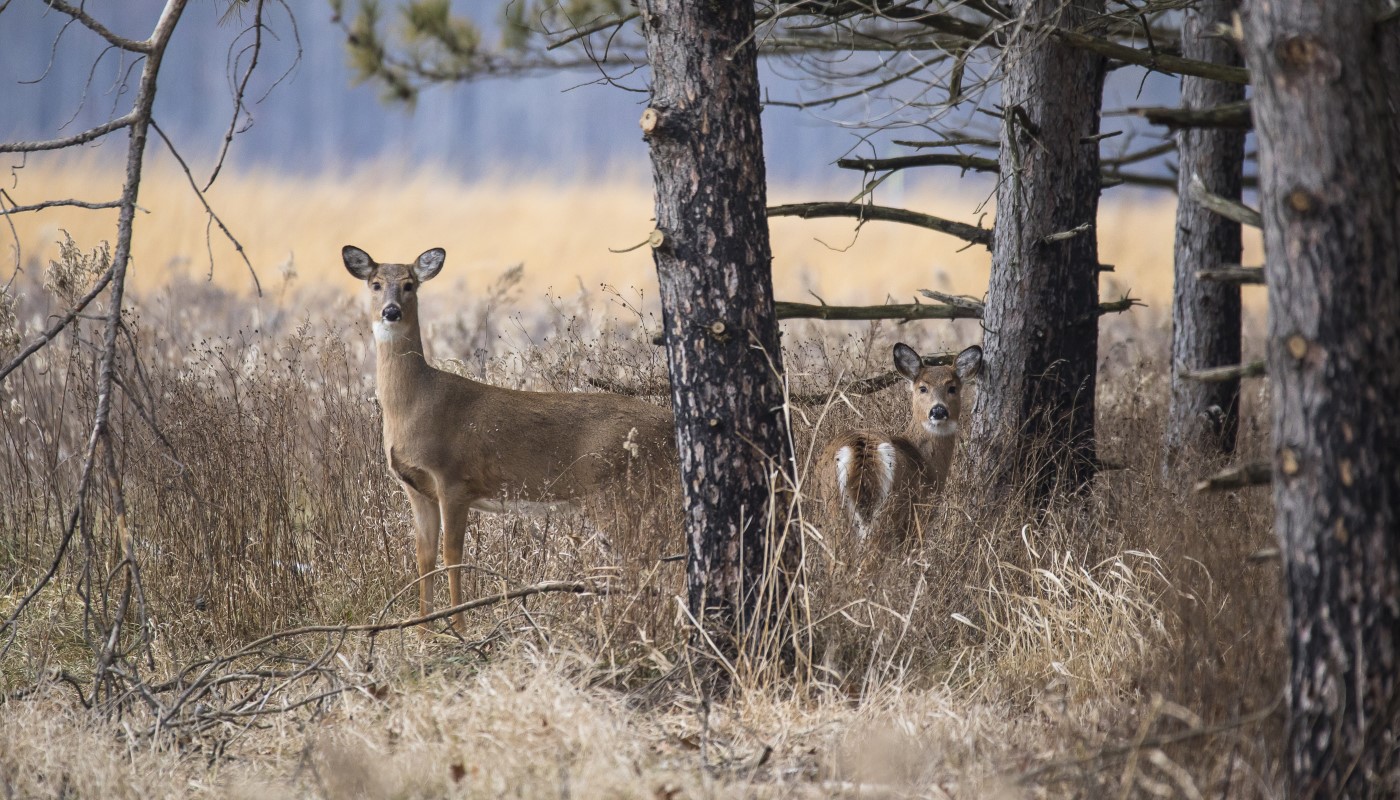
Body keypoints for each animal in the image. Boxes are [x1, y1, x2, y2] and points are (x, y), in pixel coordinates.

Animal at [343, 245, 677, 629]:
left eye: (410, 284)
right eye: (375, 283)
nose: (391, 311)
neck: (415, 405)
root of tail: (669, 423)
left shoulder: (455, 479)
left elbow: (452, 555)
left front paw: (459, 626)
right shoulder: (416, 487)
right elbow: (423, 557)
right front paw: (425, 629)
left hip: (621, 490)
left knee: (650, 553)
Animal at [820, 342, 983, 542]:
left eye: (952, 388)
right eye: (923, 388)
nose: (938, 410)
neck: (925, 462)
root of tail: (860, 449)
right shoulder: (920, 516)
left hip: (832, 509)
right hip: (891, 510)